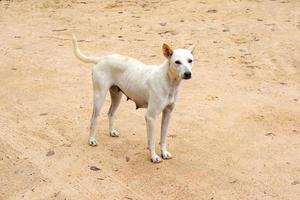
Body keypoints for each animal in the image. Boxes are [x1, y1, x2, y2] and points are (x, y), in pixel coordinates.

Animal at [72, 34, 195, 162]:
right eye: (177, 62)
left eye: (190, 60)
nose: (188, 74)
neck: (168, 81)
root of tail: (102, 59)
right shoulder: (151, 117)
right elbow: (152, 140)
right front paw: (153, 157)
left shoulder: (167, 114)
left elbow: (163, 137)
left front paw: (164, 153)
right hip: (99, 97)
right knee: (93, 119)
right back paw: (91, 140)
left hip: (117, 96)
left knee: (110, 113)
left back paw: (112, 132)